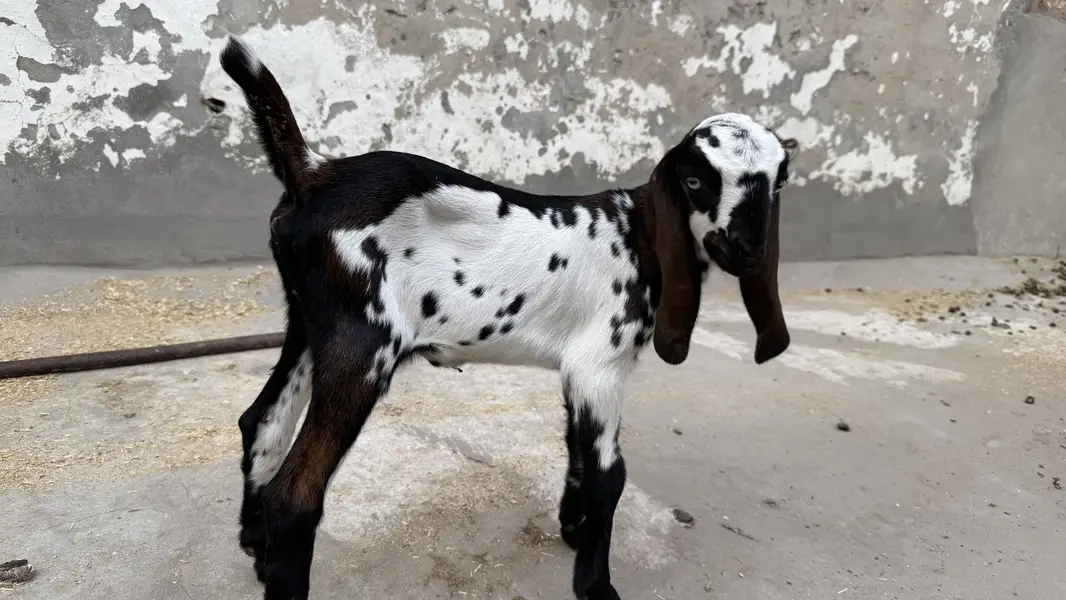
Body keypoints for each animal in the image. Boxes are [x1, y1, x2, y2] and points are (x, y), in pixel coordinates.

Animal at [220, 34, 796, 600]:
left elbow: (577, 449)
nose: (746, 249)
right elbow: (609, 475)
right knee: (295, 494)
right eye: (695, 181)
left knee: (262, 422)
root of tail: (313, 171)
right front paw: (595, 585)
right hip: (363, 340)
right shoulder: (601, 366)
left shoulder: (578, 369)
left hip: (307, 321)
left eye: (778, 183)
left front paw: (572, 528)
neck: (635, 235)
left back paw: (255, 547)